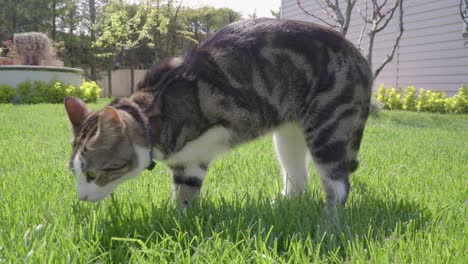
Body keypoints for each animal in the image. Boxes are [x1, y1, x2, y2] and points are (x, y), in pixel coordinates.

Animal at [64, 18, 372, 206]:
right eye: (74, 173)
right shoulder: (188, 160)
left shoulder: (198, 150)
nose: (81, 197)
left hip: (328, 127)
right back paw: (284, 203)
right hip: (288, 134)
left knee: (338, 185)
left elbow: (186, 195)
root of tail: (359, 56)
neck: (152, 115)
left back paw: (327, 224)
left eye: (93, 174)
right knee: (299, 176)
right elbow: (183, 191)